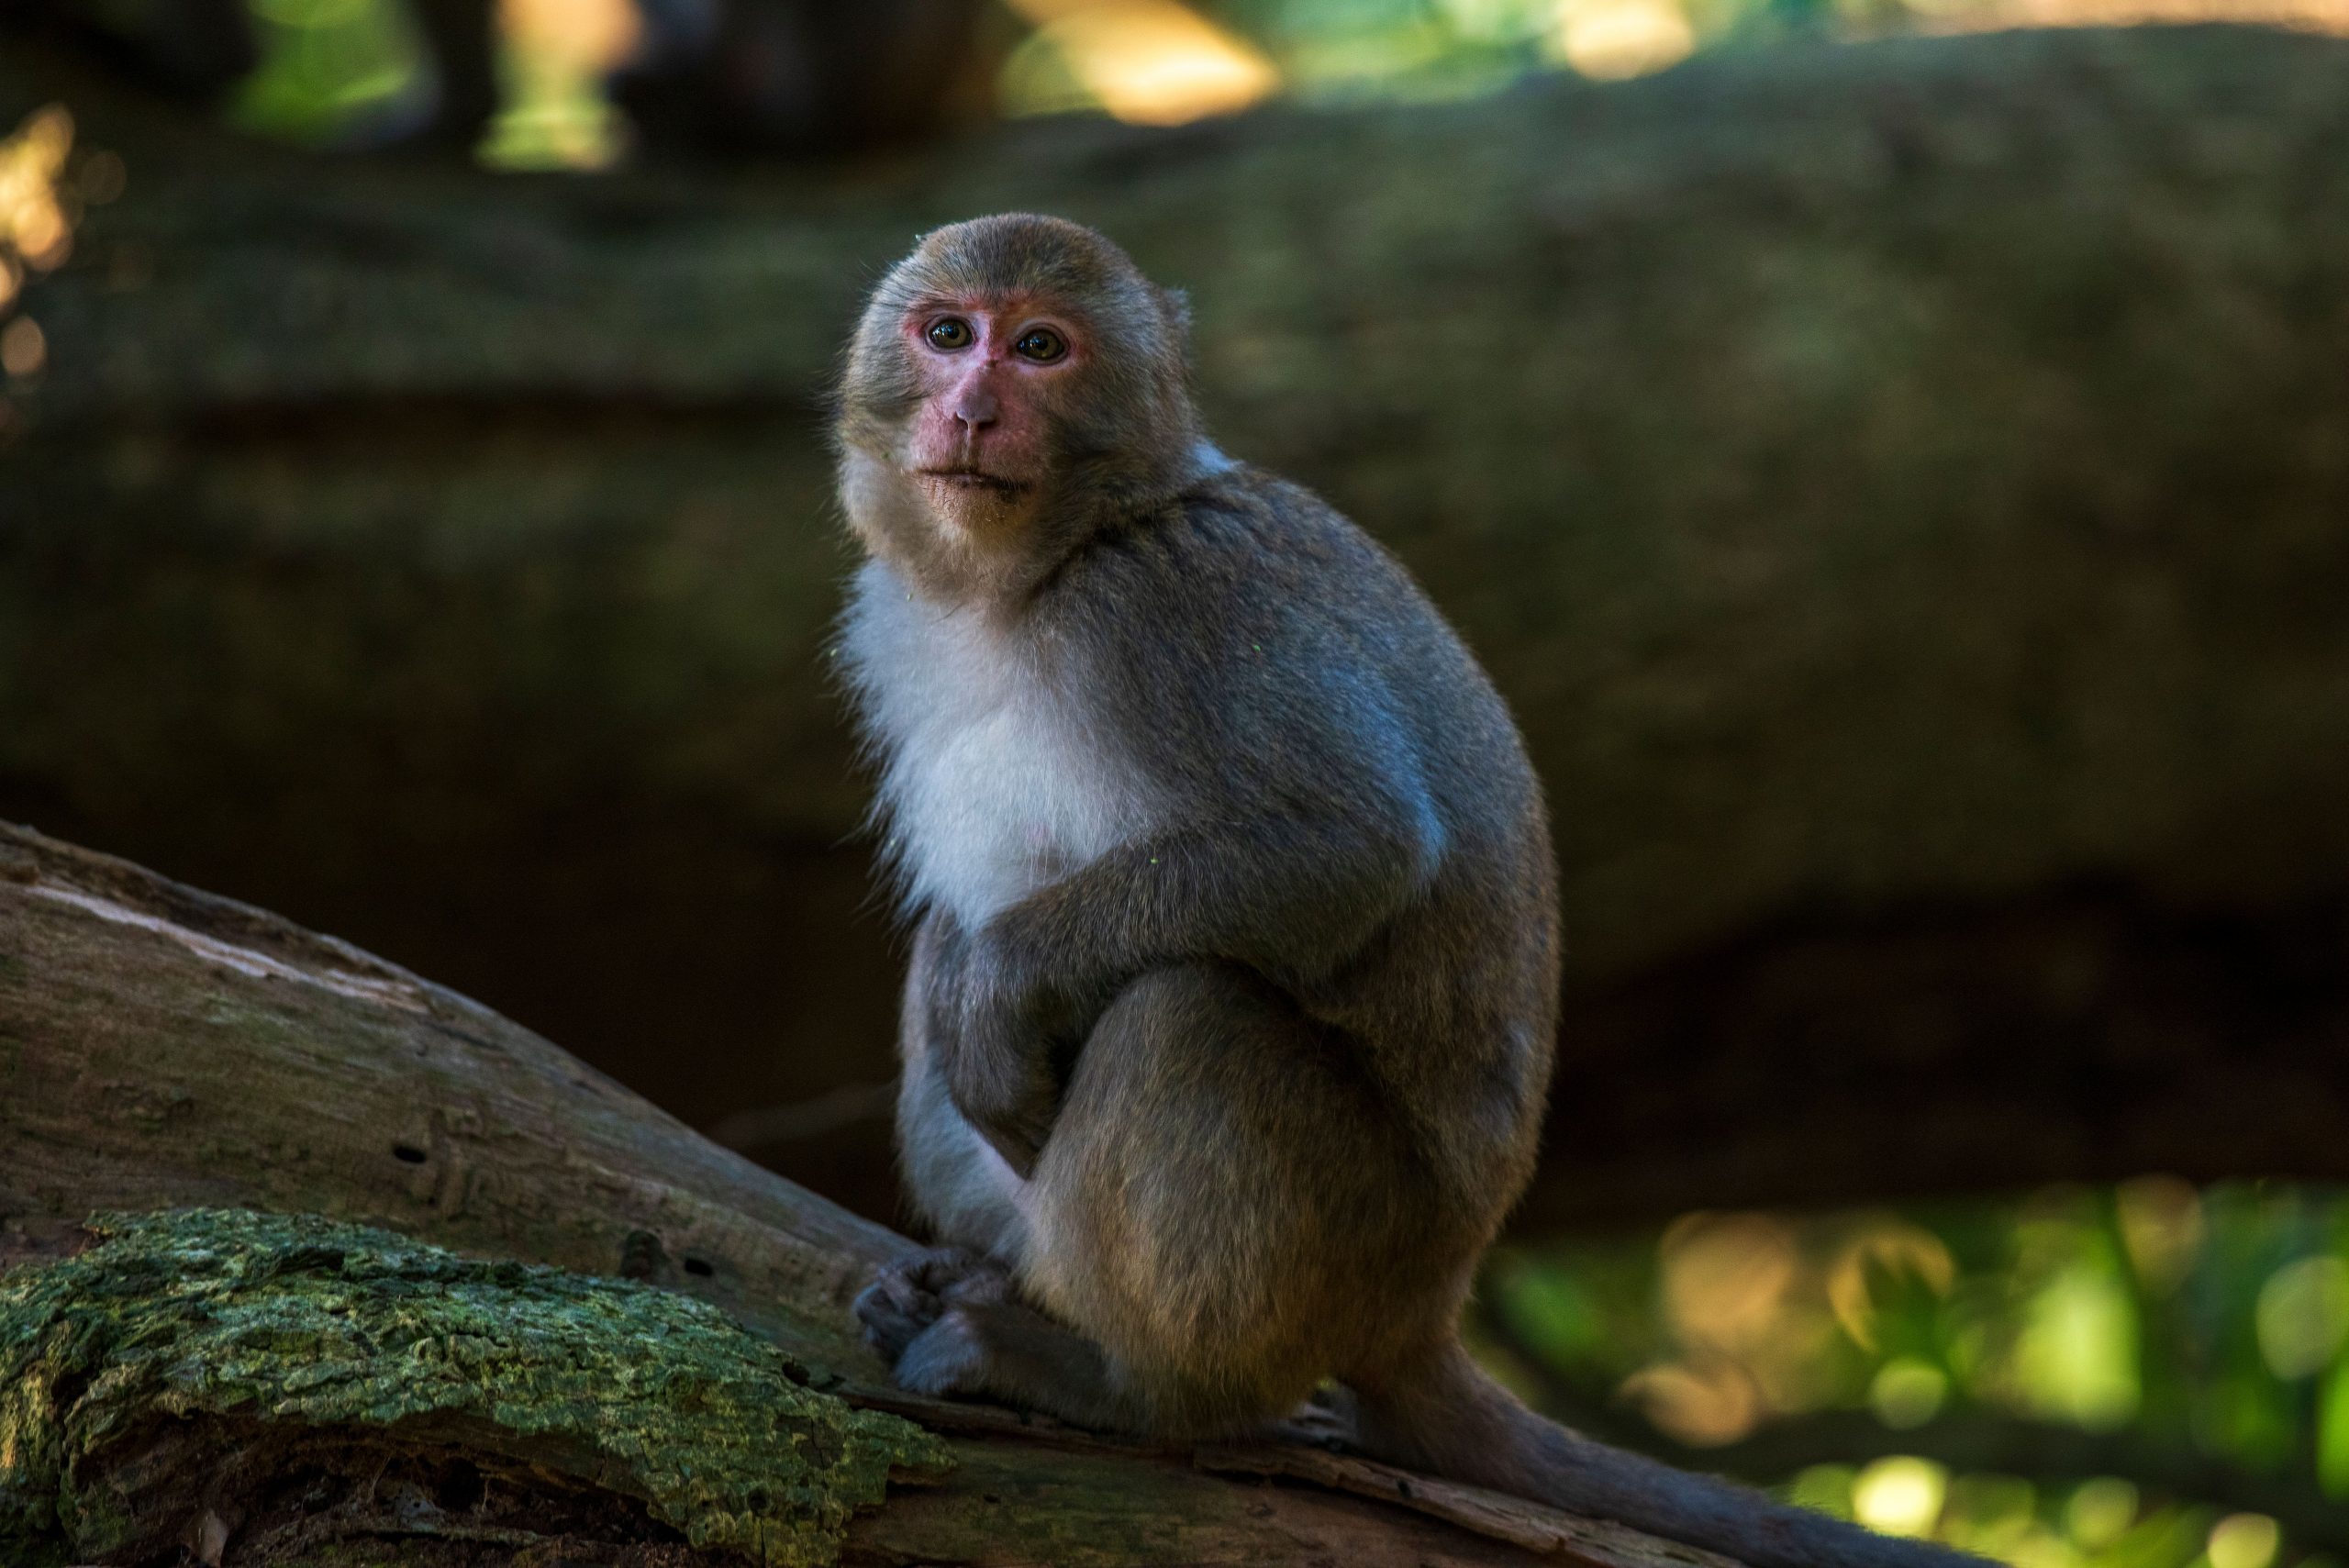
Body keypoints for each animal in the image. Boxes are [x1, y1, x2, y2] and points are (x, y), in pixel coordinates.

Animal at [833, 213, 1985, 1568]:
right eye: (946, 331)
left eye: (1040, 349)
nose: (968, 407)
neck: (1050, 562)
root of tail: (1425, 1305)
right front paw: (973, 993)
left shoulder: (1176, 607)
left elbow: (1353, 842)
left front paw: (999, 990)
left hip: (1349, 1236)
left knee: (1188, 1012)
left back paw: (1137, 1386)